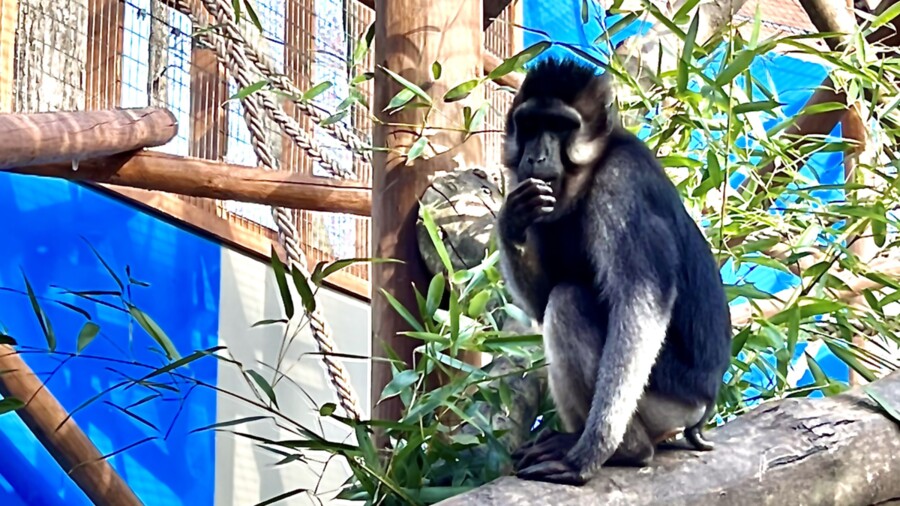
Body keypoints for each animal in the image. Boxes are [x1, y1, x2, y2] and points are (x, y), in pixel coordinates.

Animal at [496, 58, 736, 486]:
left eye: (560, 126)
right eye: (531, 125)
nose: (536, 157)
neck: (588, 173)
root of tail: (703, 405)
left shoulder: (621, 187)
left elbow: (640, 303)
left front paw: (592, 451)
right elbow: (539, 301)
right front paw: (511, 222)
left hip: (667, 400)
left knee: (569, 300)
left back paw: (627, 448)